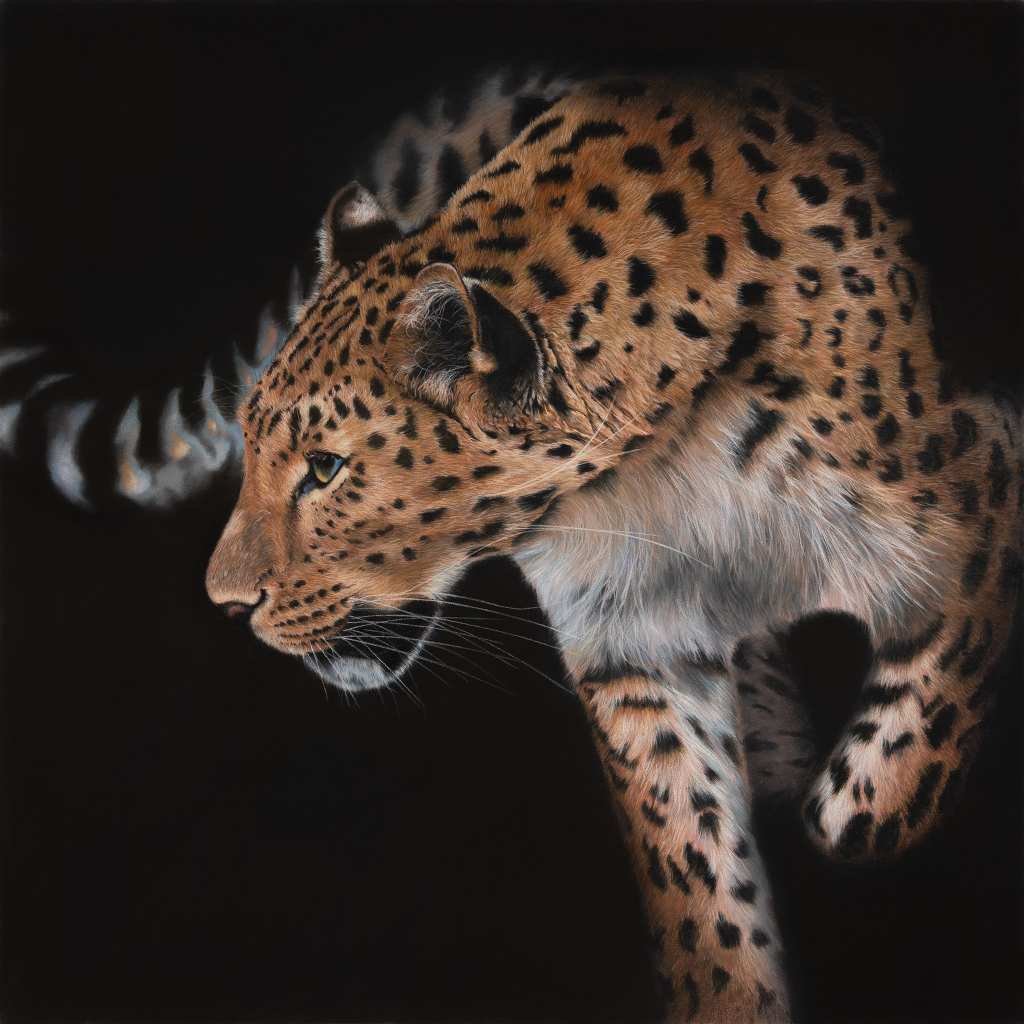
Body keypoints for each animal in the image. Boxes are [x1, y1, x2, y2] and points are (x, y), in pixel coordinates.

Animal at [205, 71, 1023, 1022]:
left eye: (327, 469)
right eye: (250, 445)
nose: (225, 602)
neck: (654, 469)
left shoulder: (981, 483)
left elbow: (919, 736)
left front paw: (848, 807)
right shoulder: (637, 648)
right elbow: (690, 866)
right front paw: (730, 994)